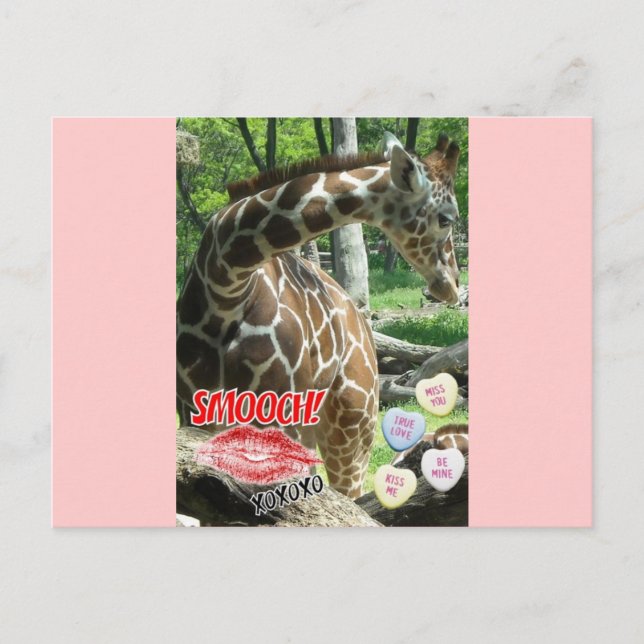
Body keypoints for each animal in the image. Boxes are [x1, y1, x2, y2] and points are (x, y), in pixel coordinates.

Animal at [177, 132, 461, 498]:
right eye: (446, 218)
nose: (452, 284)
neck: (225, 284)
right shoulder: (194, 411)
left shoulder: (280, 411)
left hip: (353, 425)